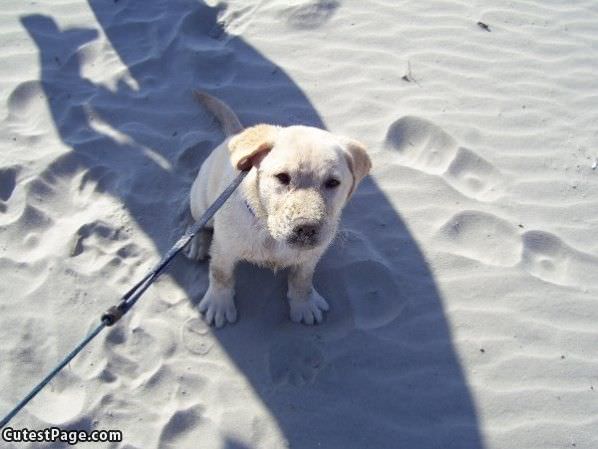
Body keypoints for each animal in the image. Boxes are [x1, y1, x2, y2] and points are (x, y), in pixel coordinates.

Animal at [185, 93, 372, 328]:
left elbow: (302, 280)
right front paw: (219, 304)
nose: (307, 229)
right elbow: (220, 275)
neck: (269, 232)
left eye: (333, 183)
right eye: (282, 177)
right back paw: (198, 243)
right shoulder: (224, 249)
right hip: (201, 199)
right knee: (198, 222)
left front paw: (304, 304)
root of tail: (236, 134)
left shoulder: (311, 256)